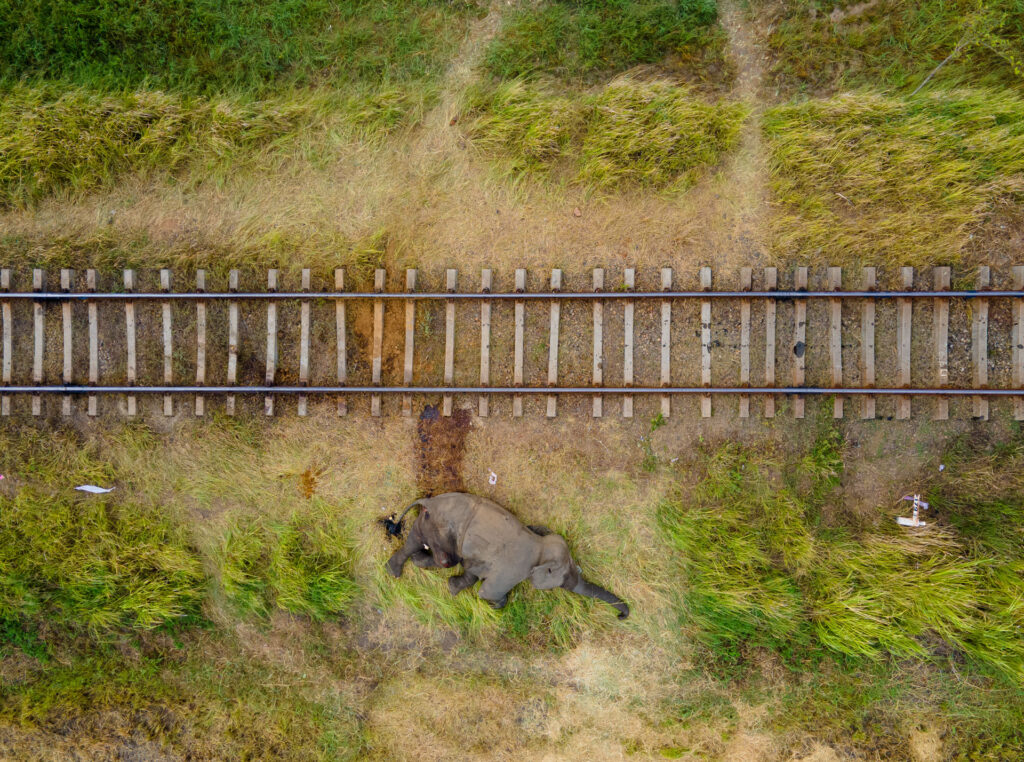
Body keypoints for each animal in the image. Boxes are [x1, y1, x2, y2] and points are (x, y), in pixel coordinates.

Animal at [382, 493, 626, 618]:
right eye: (564, 582)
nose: (620, 616)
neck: (541, 547)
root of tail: (429, 500)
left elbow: (473, 572)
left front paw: (453, 588)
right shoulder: (512, 571)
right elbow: (487, 591)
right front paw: (491, 604)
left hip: (431, 524)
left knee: (431, 549)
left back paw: (409, 564)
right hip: (438, 526)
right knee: (438, 555)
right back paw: (394, 572)